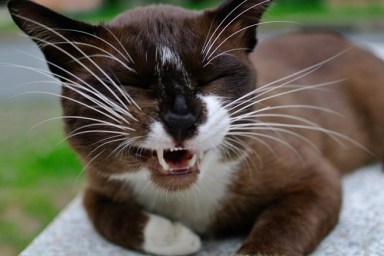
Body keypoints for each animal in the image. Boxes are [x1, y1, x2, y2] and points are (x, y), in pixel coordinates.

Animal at [6, 0, 384, 255]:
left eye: (212, 78)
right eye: (131, 84)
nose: (181, 118)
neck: (190, 196)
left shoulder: (316, 177)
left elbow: (281, 227)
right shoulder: (97, 186)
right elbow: (108, 217)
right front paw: (181, 237)